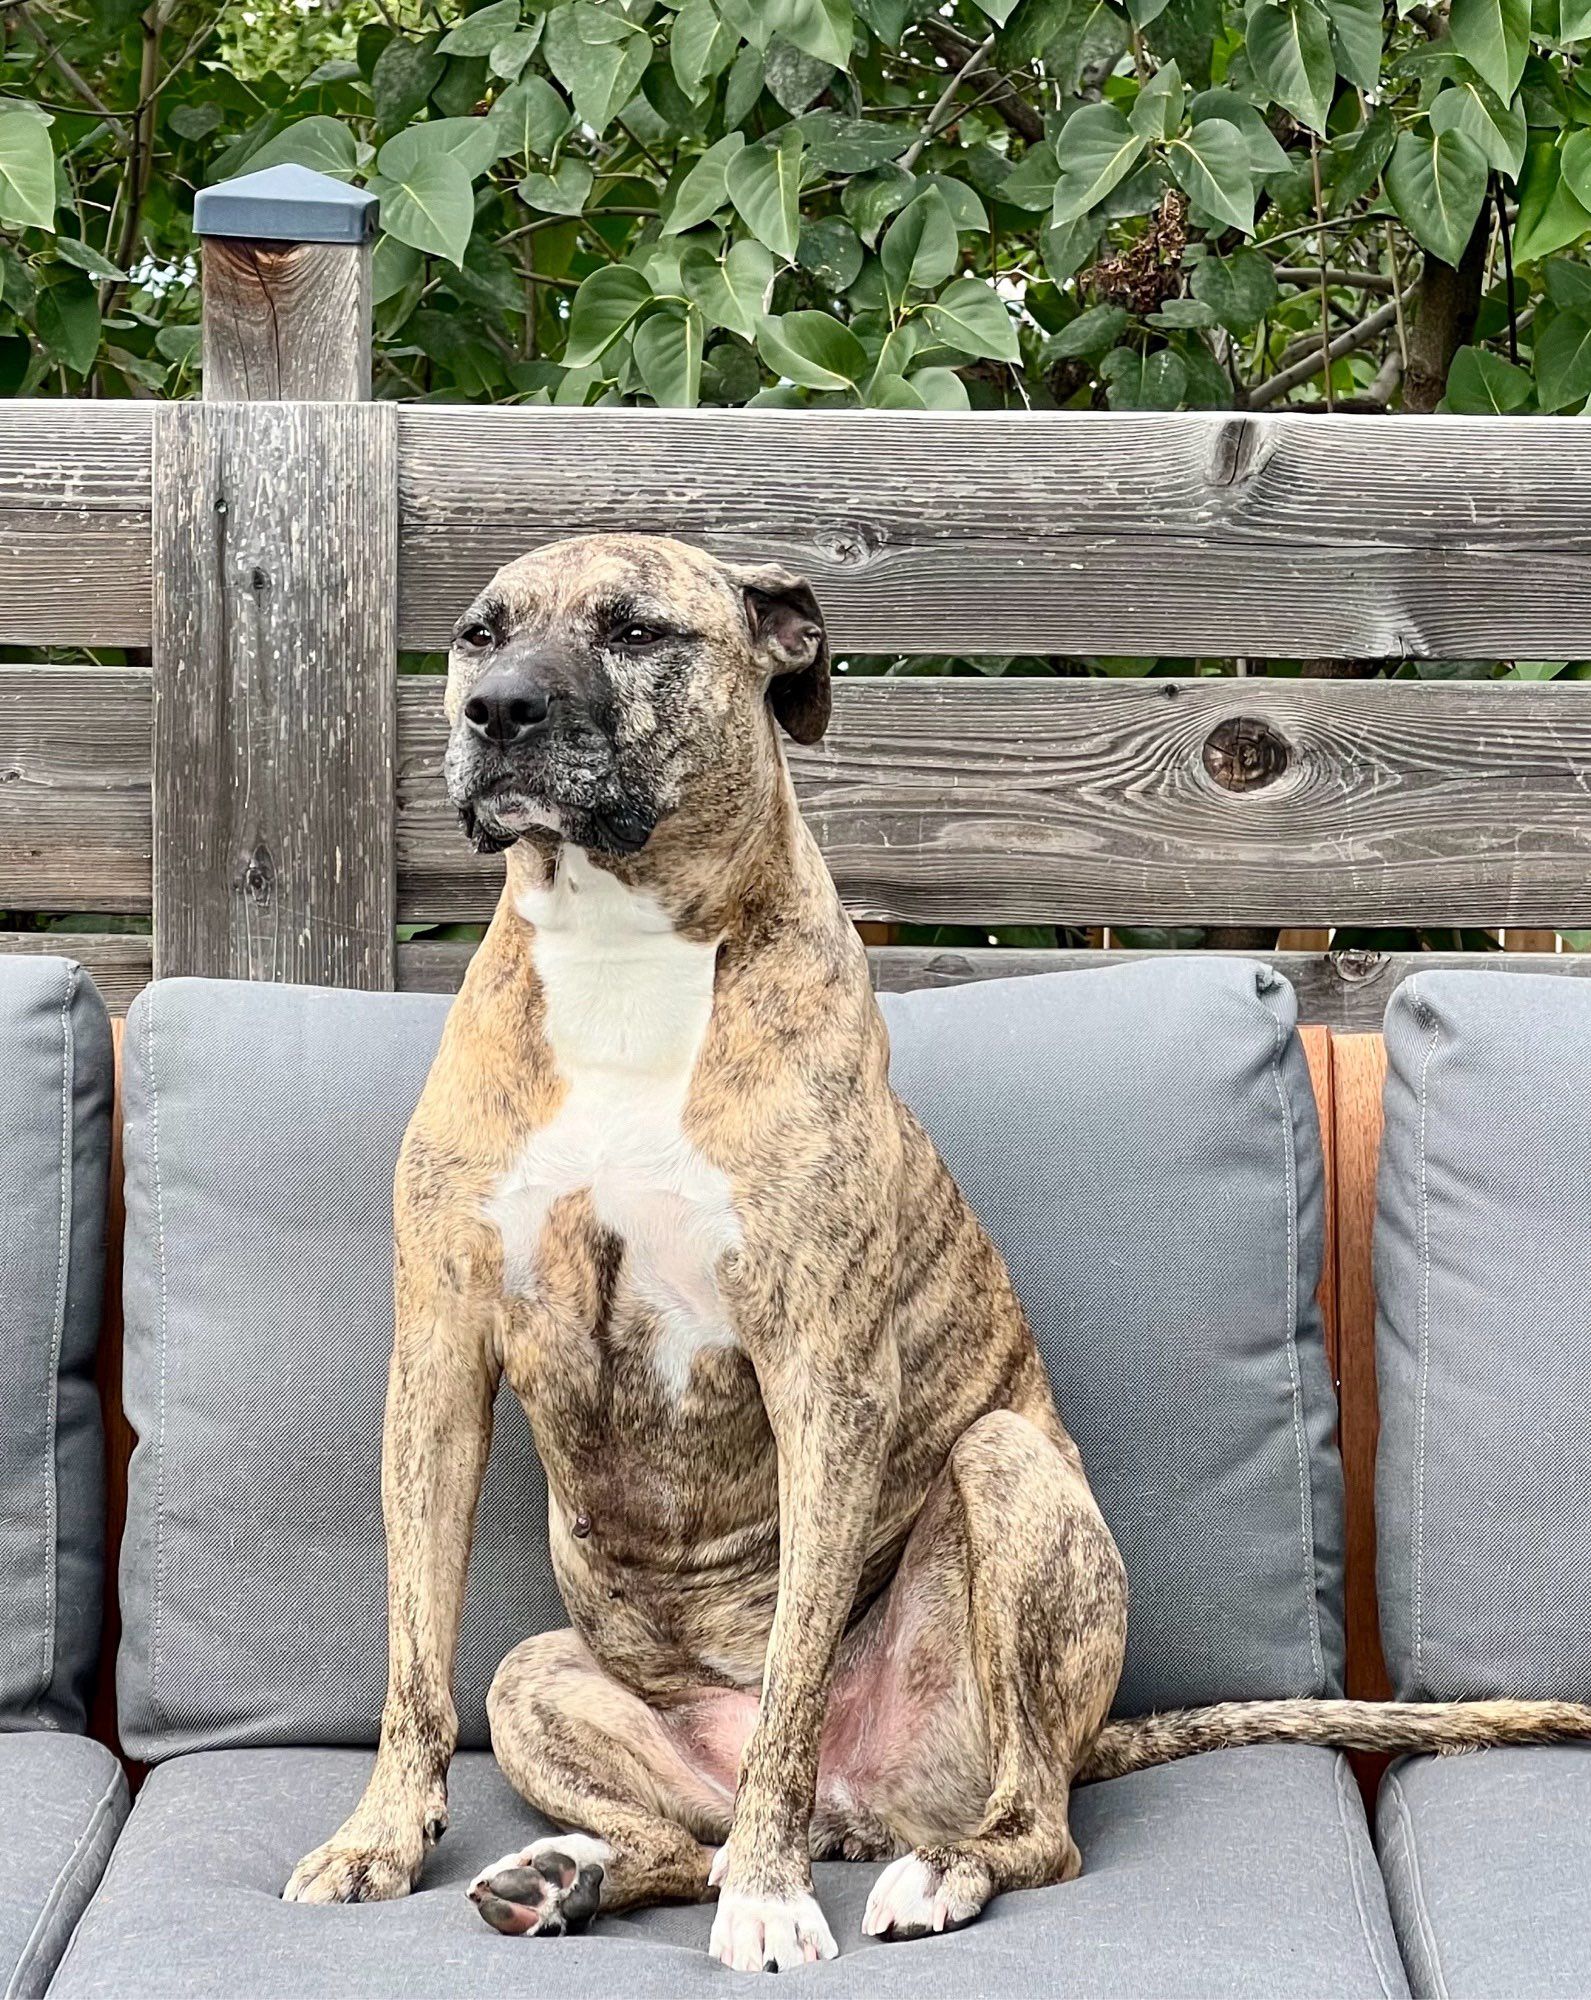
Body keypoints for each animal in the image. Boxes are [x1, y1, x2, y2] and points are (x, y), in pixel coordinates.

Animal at [289, 528, 1591, 1968]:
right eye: (476, 630)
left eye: (635, 631)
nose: (495, 709)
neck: (624, 959)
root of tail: (866, 1807)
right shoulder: (441, 1364)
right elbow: (413, 1661)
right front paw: (377, 1837)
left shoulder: (823, 1382)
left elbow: (792, 1682)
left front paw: (769, 1895)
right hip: (536, 1680)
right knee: (668, 1836)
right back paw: (568, 1875)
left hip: (1007, 1482)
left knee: (1024, 1822)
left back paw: (919, 1870)